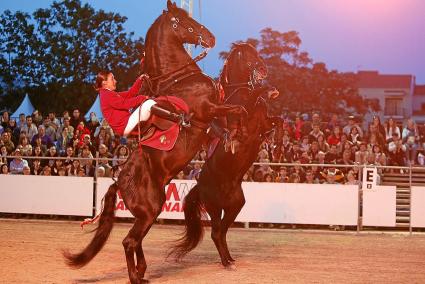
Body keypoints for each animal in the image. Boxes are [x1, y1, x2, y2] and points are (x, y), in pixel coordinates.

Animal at [63, 1, 245, 282]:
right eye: (182, 21)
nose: (211, 38)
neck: (180, 79)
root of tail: (119, 182)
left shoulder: (210, 116)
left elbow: (223, 123)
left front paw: (230, 138)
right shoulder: (209, 108)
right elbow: (236, 109)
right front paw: (236, 131)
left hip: (150, 211)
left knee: (135, 241)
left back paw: (142, 271)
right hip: (149, 210)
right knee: (129, 241)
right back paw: (136, 276)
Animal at [168, 42, 282, 266]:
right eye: (248, 55)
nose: (263, 69)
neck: (238, 92)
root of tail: (199, 187)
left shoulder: (263, 123)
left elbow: (278, 121)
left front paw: (278, 147)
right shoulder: (246, 119)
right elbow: (258, 98)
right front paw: (270, 90)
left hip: (235, 206)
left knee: (221, 233)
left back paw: (229, 259)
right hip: (214, 207)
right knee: (216, 232)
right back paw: (227, 262)